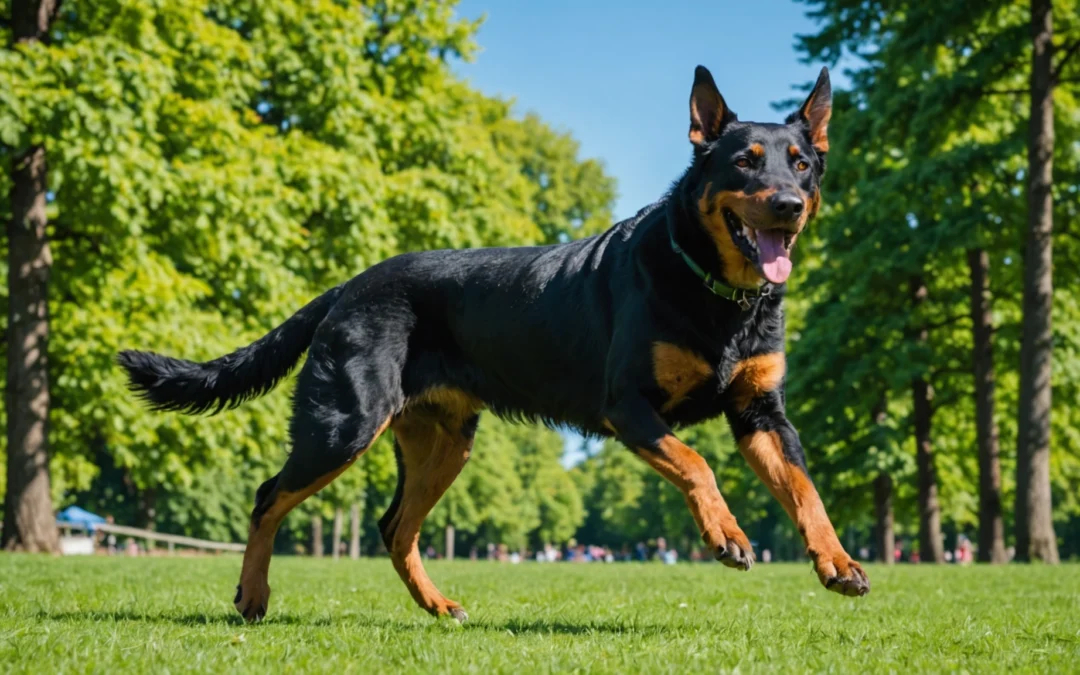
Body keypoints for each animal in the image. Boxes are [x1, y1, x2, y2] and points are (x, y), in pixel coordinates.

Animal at [120, 64, 868, 622]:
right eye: (745, 162)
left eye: (802, 164)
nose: (788, 204)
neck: (719, 296)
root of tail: (349, 286)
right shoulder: (628, 406)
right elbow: (697, 464)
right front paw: (728, 534)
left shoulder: (761, 413)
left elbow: (806, 490)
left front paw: (836, 560)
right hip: (344, 424)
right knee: (269, 497)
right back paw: (252, 595)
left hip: (445, 440)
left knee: (394, 527)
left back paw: (436, 604)